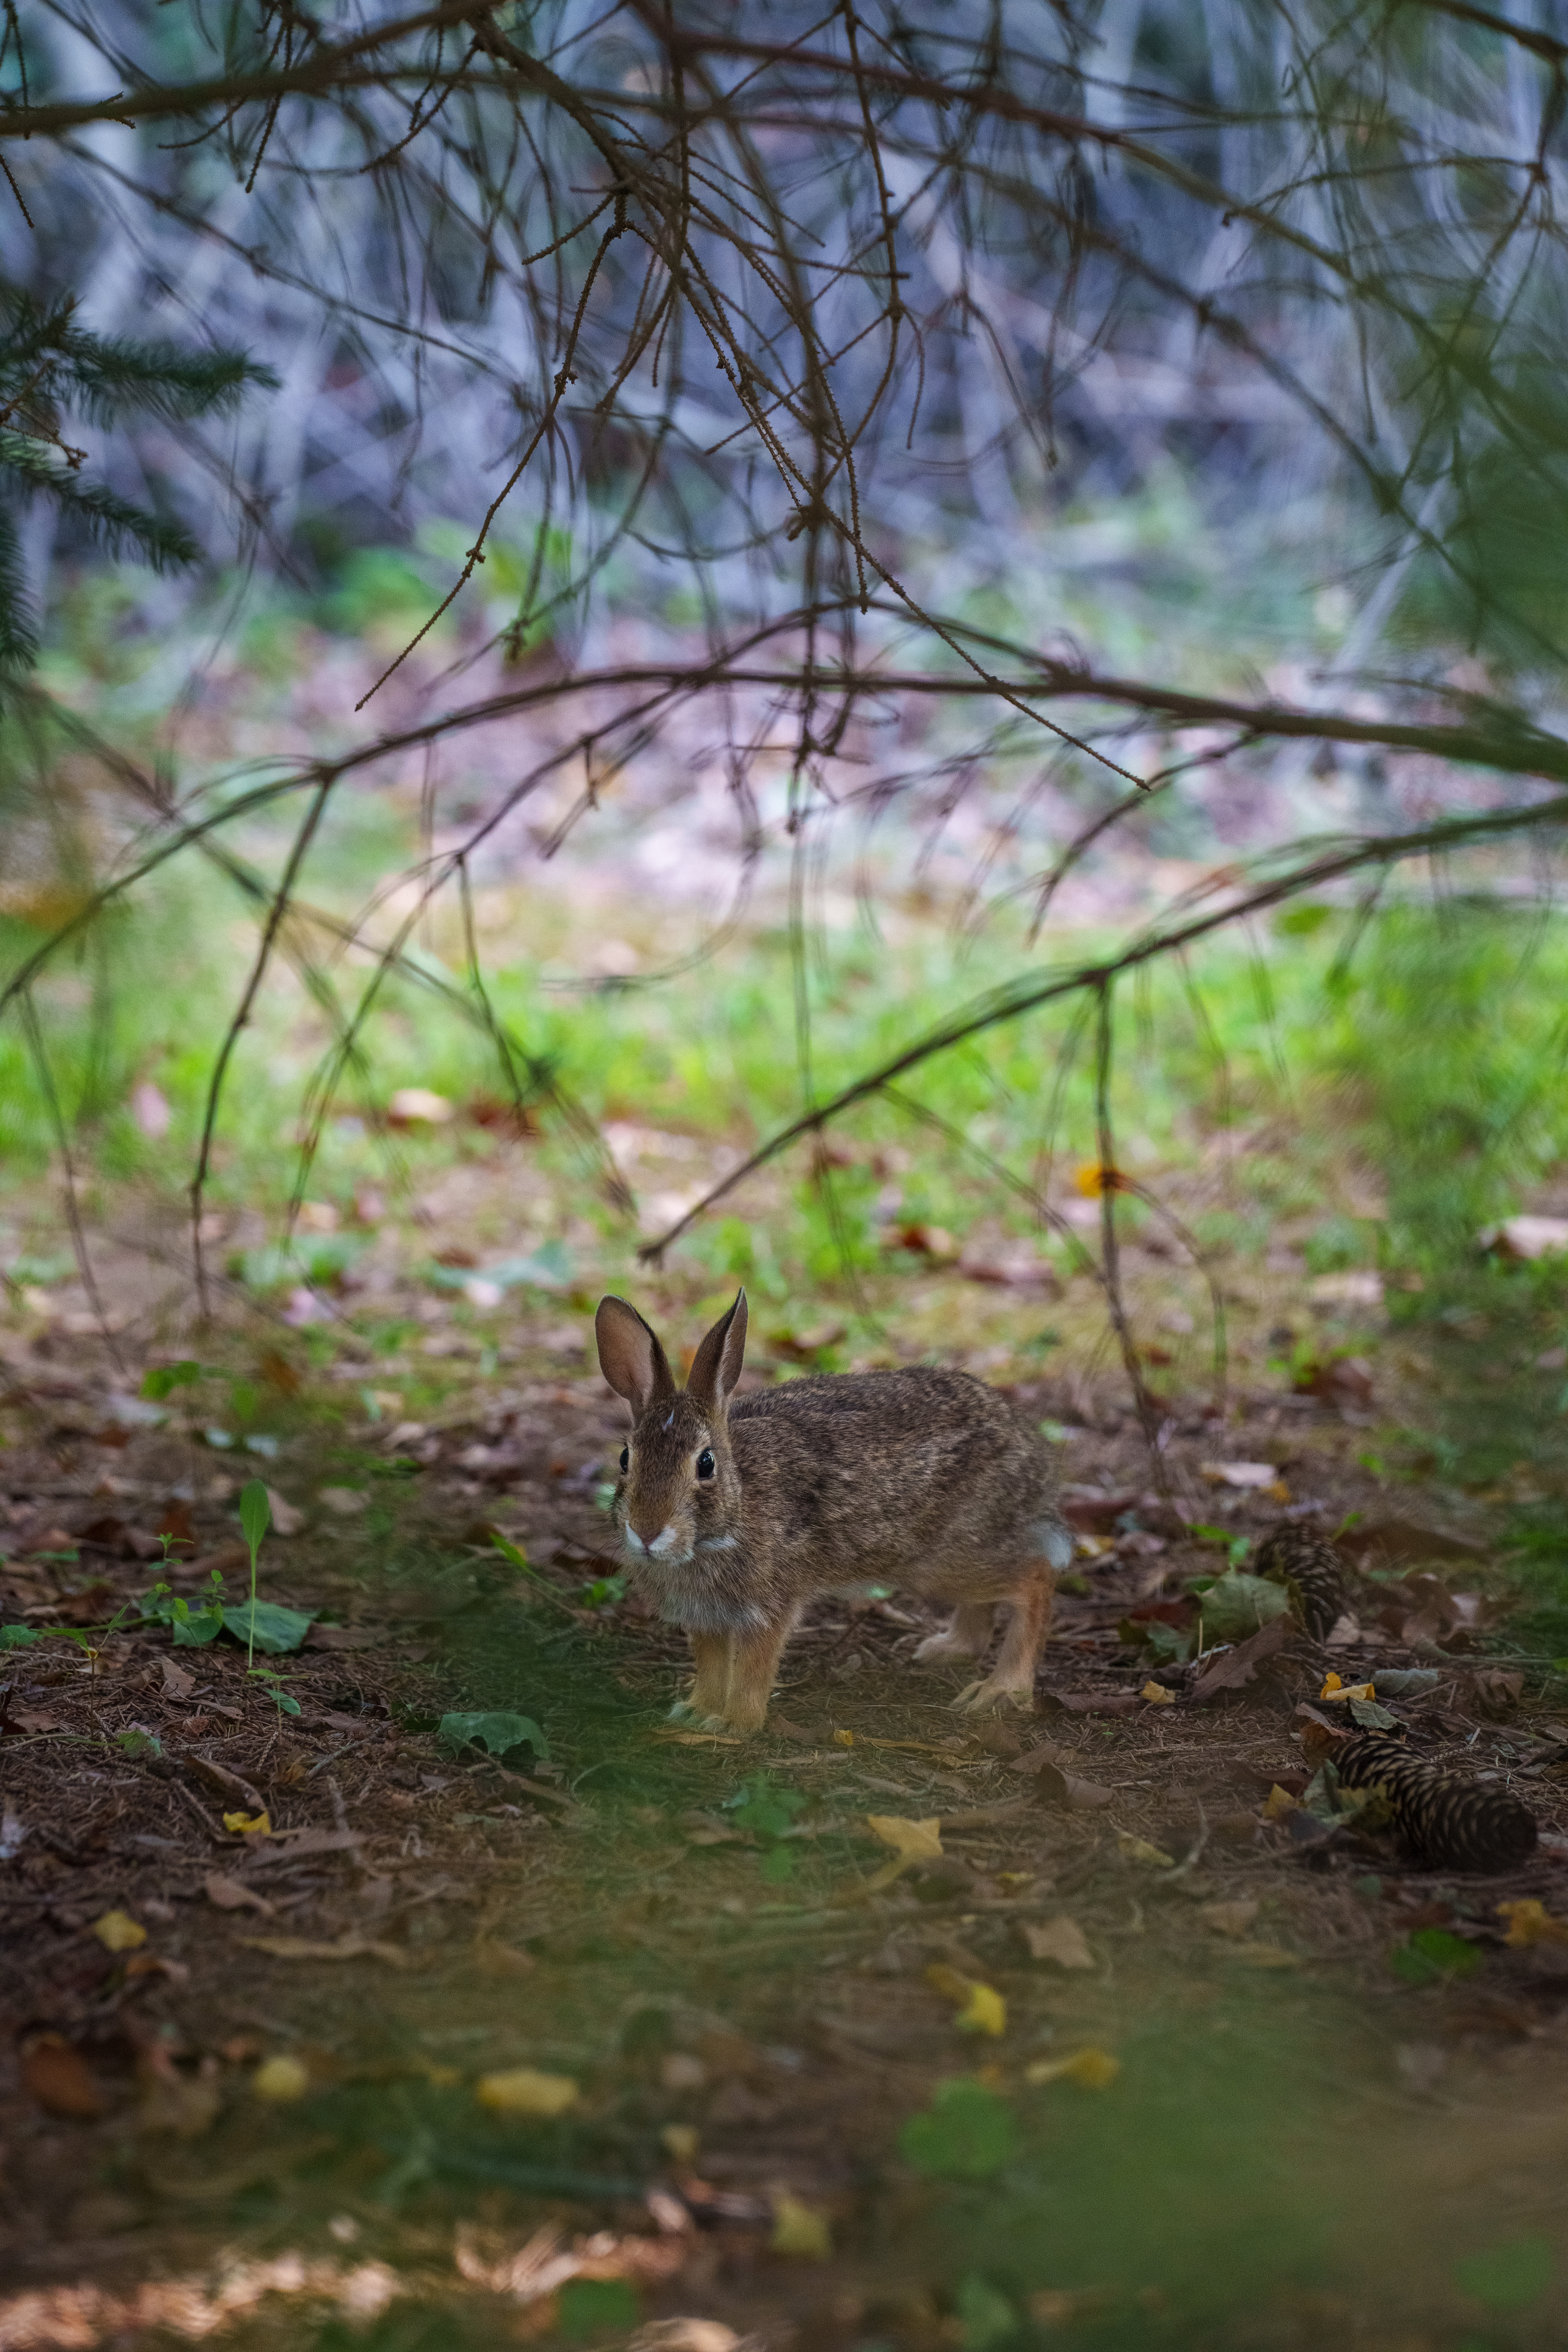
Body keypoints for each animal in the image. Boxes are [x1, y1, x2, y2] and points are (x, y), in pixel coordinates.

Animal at [594, 1287, 1073, 1734]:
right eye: (625, 1458)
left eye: (706, 1464)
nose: (647, 1531)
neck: (733, 1513)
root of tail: (1030, 1451)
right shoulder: (707, 1619)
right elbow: (711, 1666)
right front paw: (695, 1713)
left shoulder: (769, 1606)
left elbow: (753, 1669)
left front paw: (736, 1725)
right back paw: (949, 1648)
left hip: (947, 1559)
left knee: (1036, 1578)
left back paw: (1002, 1690)